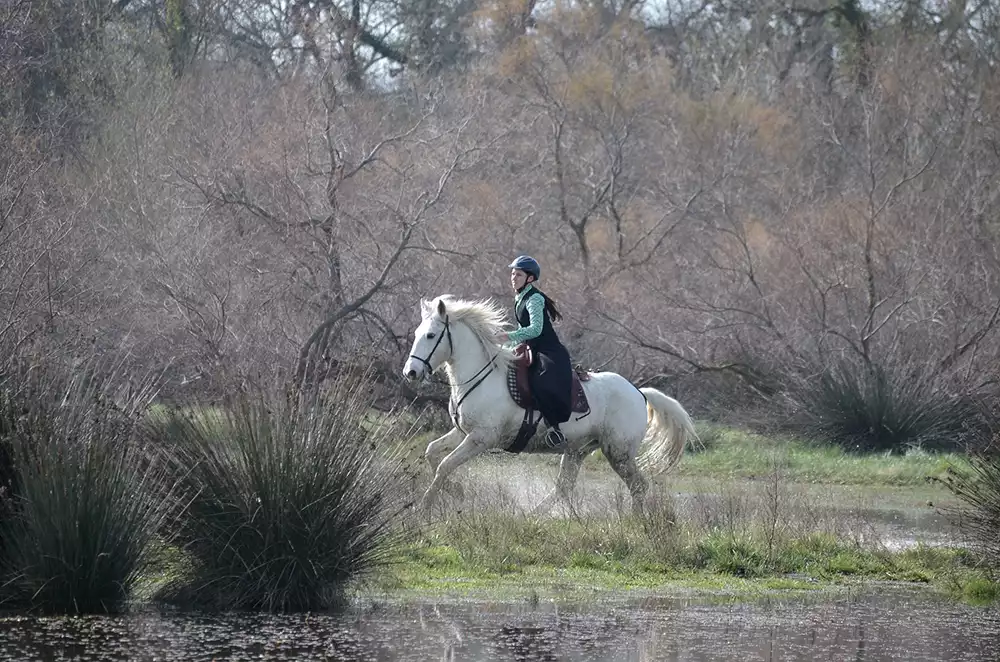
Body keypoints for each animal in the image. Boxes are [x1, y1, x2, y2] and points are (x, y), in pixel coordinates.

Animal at [401, 294, 697, 514]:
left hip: (618, 452)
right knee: (563, 488)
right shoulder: (462, 432)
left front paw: (425, 506)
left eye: (430, 335)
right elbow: (432, 453)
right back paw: (529, 516)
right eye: (417, 333)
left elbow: (445, 465)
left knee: (638, 487)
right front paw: (457, 491)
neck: (482, 375)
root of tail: (639, 392)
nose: (410, 372)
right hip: (578, 450)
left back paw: (635, 523)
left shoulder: (480, 438)